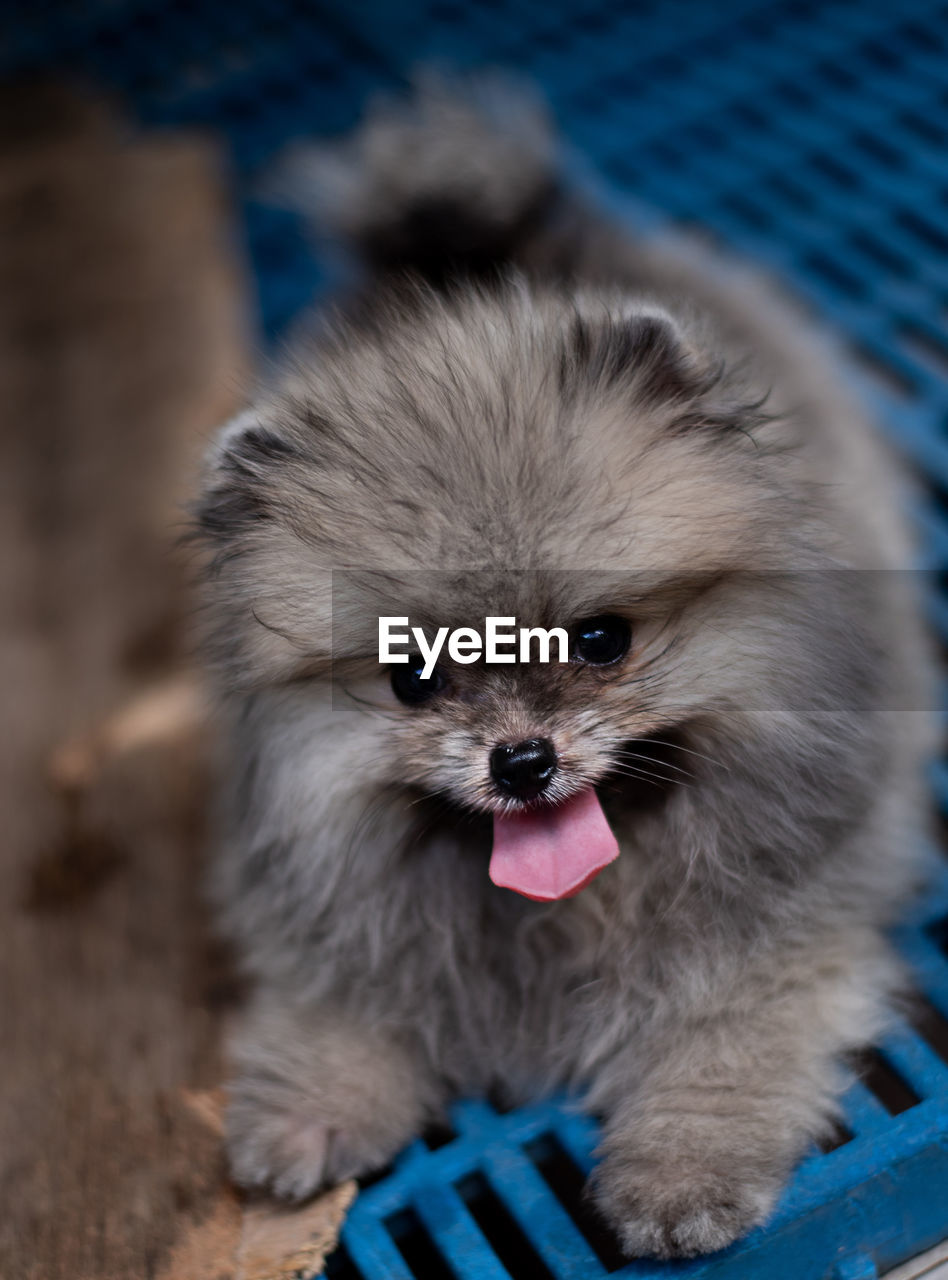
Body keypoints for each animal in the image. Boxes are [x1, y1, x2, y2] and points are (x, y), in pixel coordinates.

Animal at [195, 82, 936, 1259]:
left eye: (600, 639)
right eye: (413, 677)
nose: (523, 759)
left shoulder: (775, 940)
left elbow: (723, 1051)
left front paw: (678, 1174)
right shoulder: (342, 918)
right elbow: (336, 1007)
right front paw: (308, 1106)